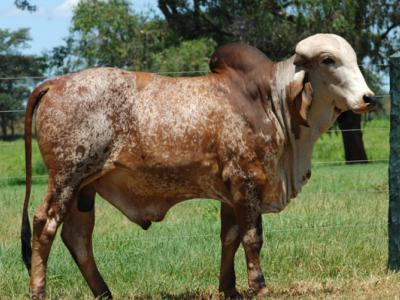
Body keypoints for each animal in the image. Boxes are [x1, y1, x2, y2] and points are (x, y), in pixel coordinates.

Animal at [21, 34, 376, 298]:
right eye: (329, 60)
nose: (368, 97)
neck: (271, 102)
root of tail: (55, 83)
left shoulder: (231, 192)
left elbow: (230, 237)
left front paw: (229, 289)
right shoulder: (246, 181)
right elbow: (252, 238)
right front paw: (260, 287)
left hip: (86, 189)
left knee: (78, 237)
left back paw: (103, 292)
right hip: (66, 179)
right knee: (44, 225)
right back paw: (38, 291)